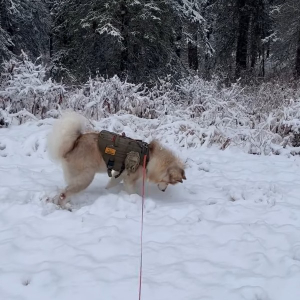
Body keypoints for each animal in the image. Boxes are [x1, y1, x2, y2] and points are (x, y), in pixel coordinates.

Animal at [46, 111, 185, 207]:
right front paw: (138, 200)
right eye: (168, 182)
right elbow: (132, 192)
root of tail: (74, 143)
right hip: (86, 177)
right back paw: (65, 207)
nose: (164, 190)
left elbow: (111, 184)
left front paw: (106, 191)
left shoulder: (119, 175)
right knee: (64, 194)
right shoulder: (129, 179)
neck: (150, 157)